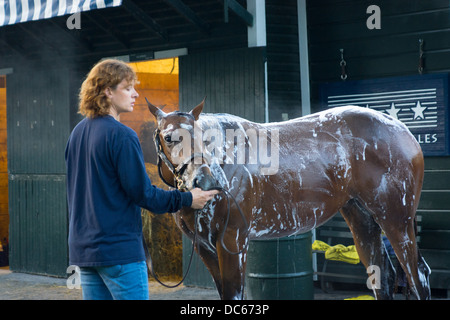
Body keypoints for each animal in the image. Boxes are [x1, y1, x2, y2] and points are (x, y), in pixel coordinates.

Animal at [146, 100, 430, 300]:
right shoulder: (204, 246)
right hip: (363, 220)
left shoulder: (232, 240)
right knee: (383, 277)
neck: (227, 160)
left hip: (396, 220)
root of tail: (402, 130)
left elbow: (233, 294)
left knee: (418, 276)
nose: (204, 180)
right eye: (168, 137)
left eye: (204, 138)